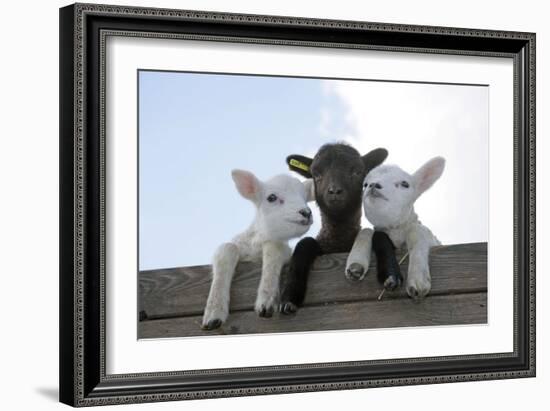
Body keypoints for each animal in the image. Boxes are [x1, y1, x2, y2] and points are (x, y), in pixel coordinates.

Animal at [203, 169, 314, 330]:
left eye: (305, 198)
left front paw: (266, 301)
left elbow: (274, 248)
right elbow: (227, 248)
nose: (306, 212)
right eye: (271, 197)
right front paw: (213, 313)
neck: (256, 245)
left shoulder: (282, 247)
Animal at [348, 158, 446, 300]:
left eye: (405, 184)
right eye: (365, 185)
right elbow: (367, 231)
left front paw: (418, 278)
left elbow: (416, 230)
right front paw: (356, 263)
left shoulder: (434, 240)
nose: (373, 185)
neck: (395, 230)